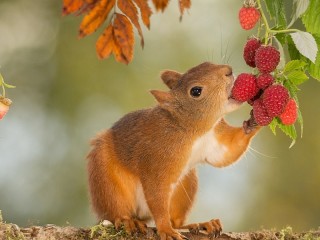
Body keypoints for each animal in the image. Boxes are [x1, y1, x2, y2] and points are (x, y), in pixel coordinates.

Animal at [87, 62, 260, 240]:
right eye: (196, 91)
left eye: (206, 63)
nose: (228, 71)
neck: (193, 131)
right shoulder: (158, 157)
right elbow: (157, 192)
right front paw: (165, 230)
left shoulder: (214, 141)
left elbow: (227, 152)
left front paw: (255, 120)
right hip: (106, 180)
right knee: (115, 210)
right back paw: (128, 221)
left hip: (186, 185)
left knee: (176, 221)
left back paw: (201, 224)